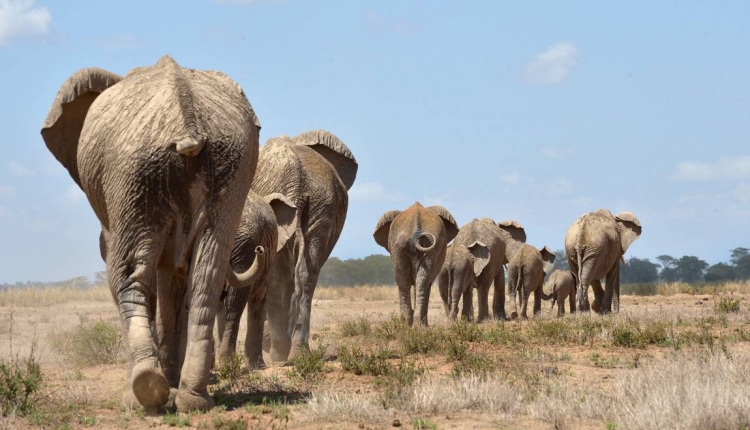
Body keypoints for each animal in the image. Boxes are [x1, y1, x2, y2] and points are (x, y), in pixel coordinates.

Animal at [42, 55, 264, 412]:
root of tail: (188, 125)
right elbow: (175, 280)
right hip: (228, 171)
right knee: (206, 274)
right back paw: (193, 400)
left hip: (135, 173)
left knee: (127, 273)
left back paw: (143, 395)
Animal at [253, 130, 358, 362]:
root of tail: (298, 182)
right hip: (322, 209)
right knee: (306, 274)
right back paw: (299, 354)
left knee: (278, 275)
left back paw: (279, 354)